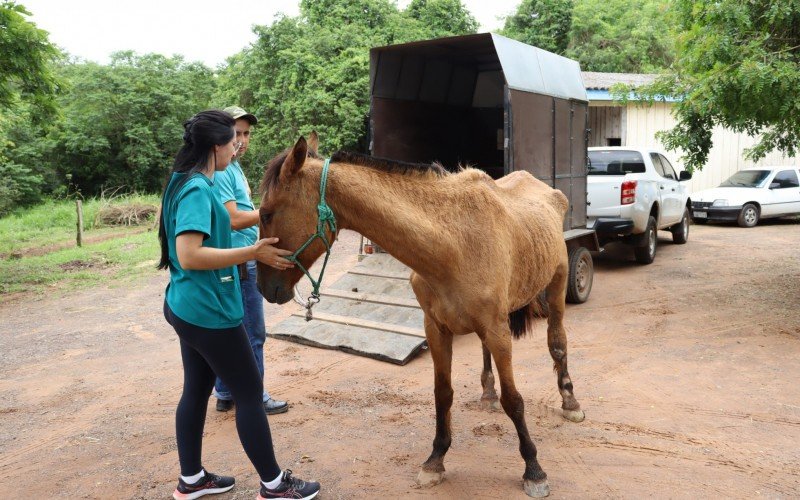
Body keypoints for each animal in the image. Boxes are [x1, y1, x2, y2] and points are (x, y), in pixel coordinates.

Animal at [260, 135, 584, 498]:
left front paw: (533, 469)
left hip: (556, 287)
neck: (452, 245)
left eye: (267, 213)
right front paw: (435, 460)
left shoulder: (498, 330)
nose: (264, 287)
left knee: (557, 342)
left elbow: (513, 400)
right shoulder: (437, 329)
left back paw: (570, 401)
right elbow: (442, 394)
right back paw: (487, 394)